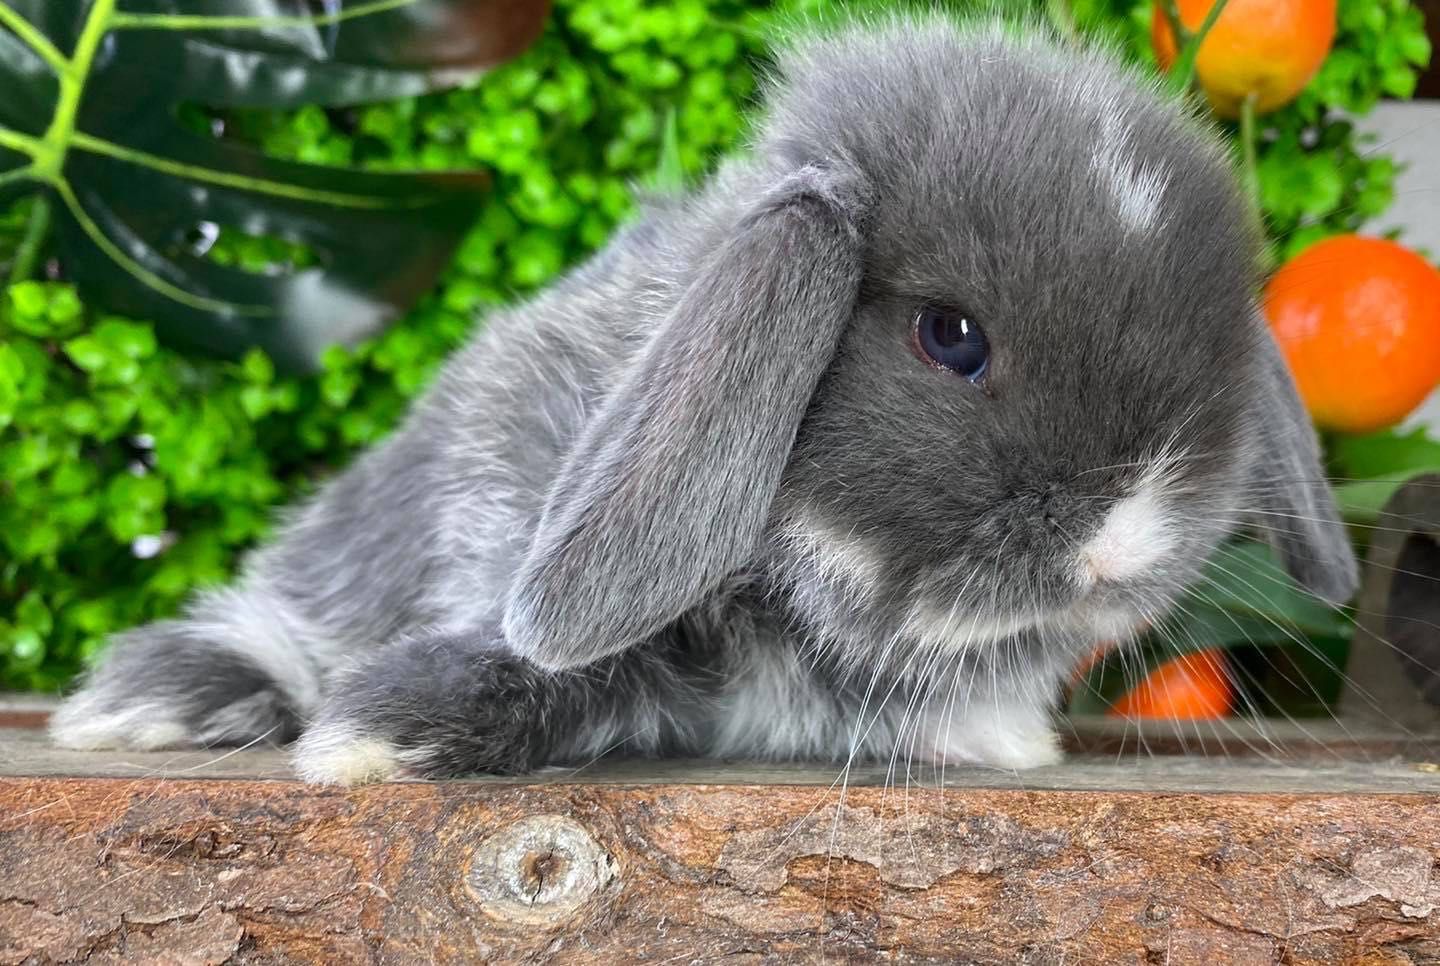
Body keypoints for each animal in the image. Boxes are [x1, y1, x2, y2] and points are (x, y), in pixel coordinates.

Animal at [45, 13, 1353, 783]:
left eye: (1225, 352)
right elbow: (572, 672)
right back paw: (161, 700)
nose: (1124, 542)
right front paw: (382, 733)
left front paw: (1006, 743)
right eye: (951, 337)